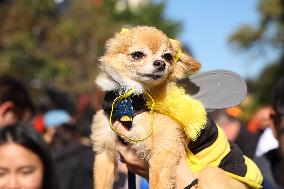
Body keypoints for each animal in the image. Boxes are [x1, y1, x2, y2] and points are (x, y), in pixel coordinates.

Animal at [91, 25, 262, 188]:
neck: (131, 100)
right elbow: (102, 183)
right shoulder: (105, 150)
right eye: (137, 55)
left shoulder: (163, 153)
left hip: (209, 172)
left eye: (167, 56)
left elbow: (157, 183)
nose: (160, 63)